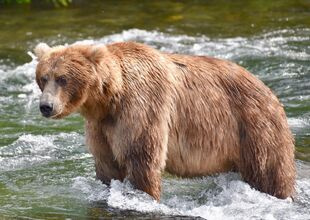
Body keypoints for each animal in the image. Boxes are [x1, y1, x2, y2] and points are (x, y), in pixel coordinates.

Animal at [33, 41, 296, 201]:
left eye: (63, 78)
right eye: (43, 78)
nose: (46, 106)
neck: (110, 97)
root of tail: (267, 89)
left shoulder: (142, 107)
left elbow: (142, 158)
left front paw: (145, 194)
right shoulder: (102, 126)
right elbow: (107, 164)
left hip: (255, 127)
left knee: (270, 173)